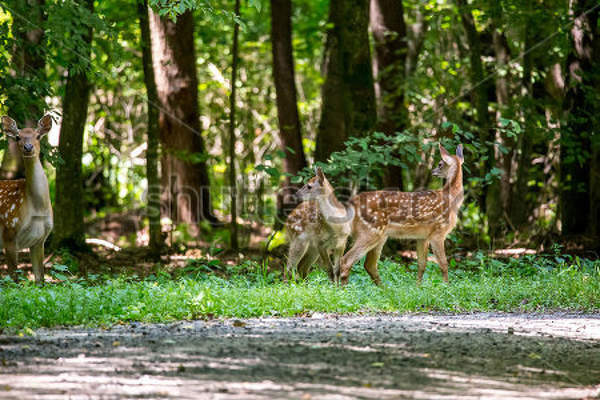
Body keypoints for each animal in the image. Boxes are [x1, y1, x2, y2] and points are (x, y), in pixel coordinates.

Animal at [0, 115, 54, 284]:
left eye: (38, 136)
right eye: (18, 137)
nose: (28, 147)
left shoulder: (40, 240)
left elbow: (40, 279)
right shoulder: (9, 233)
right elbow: (14, 278)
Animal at [338, 144, 464, 284]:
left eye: (440, 164)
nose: (433, 171)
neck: (451, 200)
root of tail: (351, 203)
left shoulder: (423, 236)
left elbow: (422, 264)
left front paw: (418, 286)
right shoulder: (438, 232)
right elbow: (443, 264)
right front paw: (446, 286)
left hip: (380, 235)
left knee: (369, 264)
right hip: (370, 231)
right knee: (346, 260)